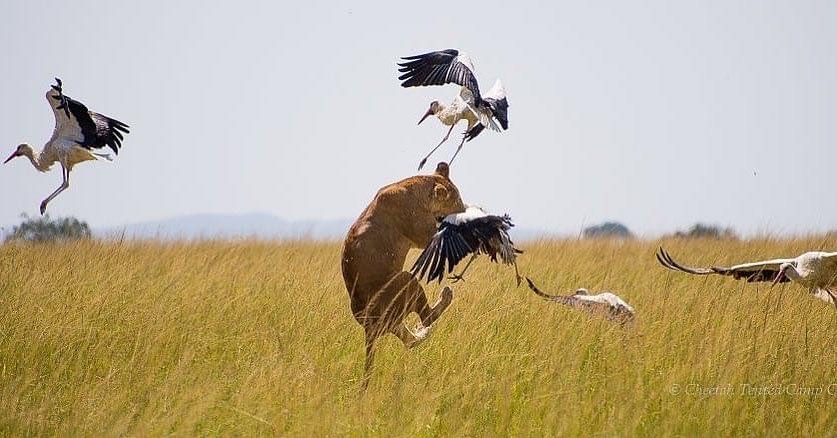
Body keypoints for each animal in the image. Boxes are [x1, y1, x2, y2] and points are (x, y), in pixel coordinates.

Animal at [341, 162, 466, 386]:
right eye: (457, 201)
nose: (464, 210)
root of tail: (368, 328)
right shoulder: (422, 233)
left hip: (394, 319)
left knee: (411, 341)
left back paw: (420, 334)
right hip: (405, 279)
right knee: (427, 317)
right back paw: (445, 297)